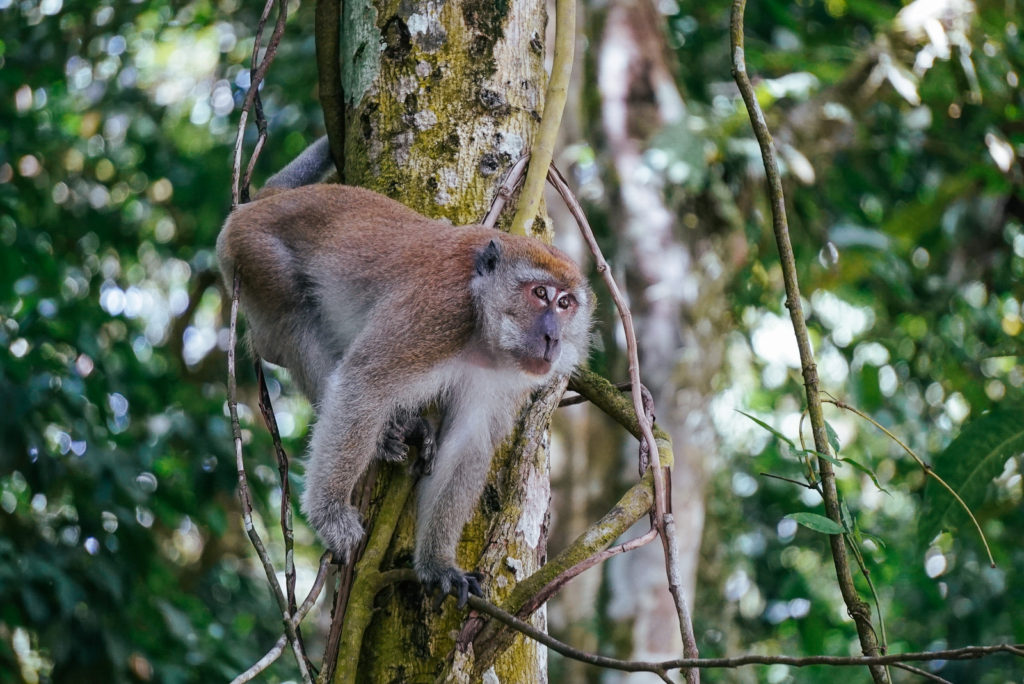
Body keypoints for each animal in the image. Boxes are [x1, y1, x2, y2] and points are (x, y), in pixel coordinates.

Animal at [217, 138, 593, 605]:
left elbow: (468, 439)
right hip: (254, 253)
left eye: (566, 304)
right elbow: (365, 381)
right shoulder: (439, 311)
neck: (481, 328)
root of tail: (266, 201)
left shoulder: (505, 377)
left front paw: (437, 563)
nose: (551, 338)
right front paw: (331, 515)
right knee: (293, 318)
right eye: (540, 293)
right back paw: (386, 435)